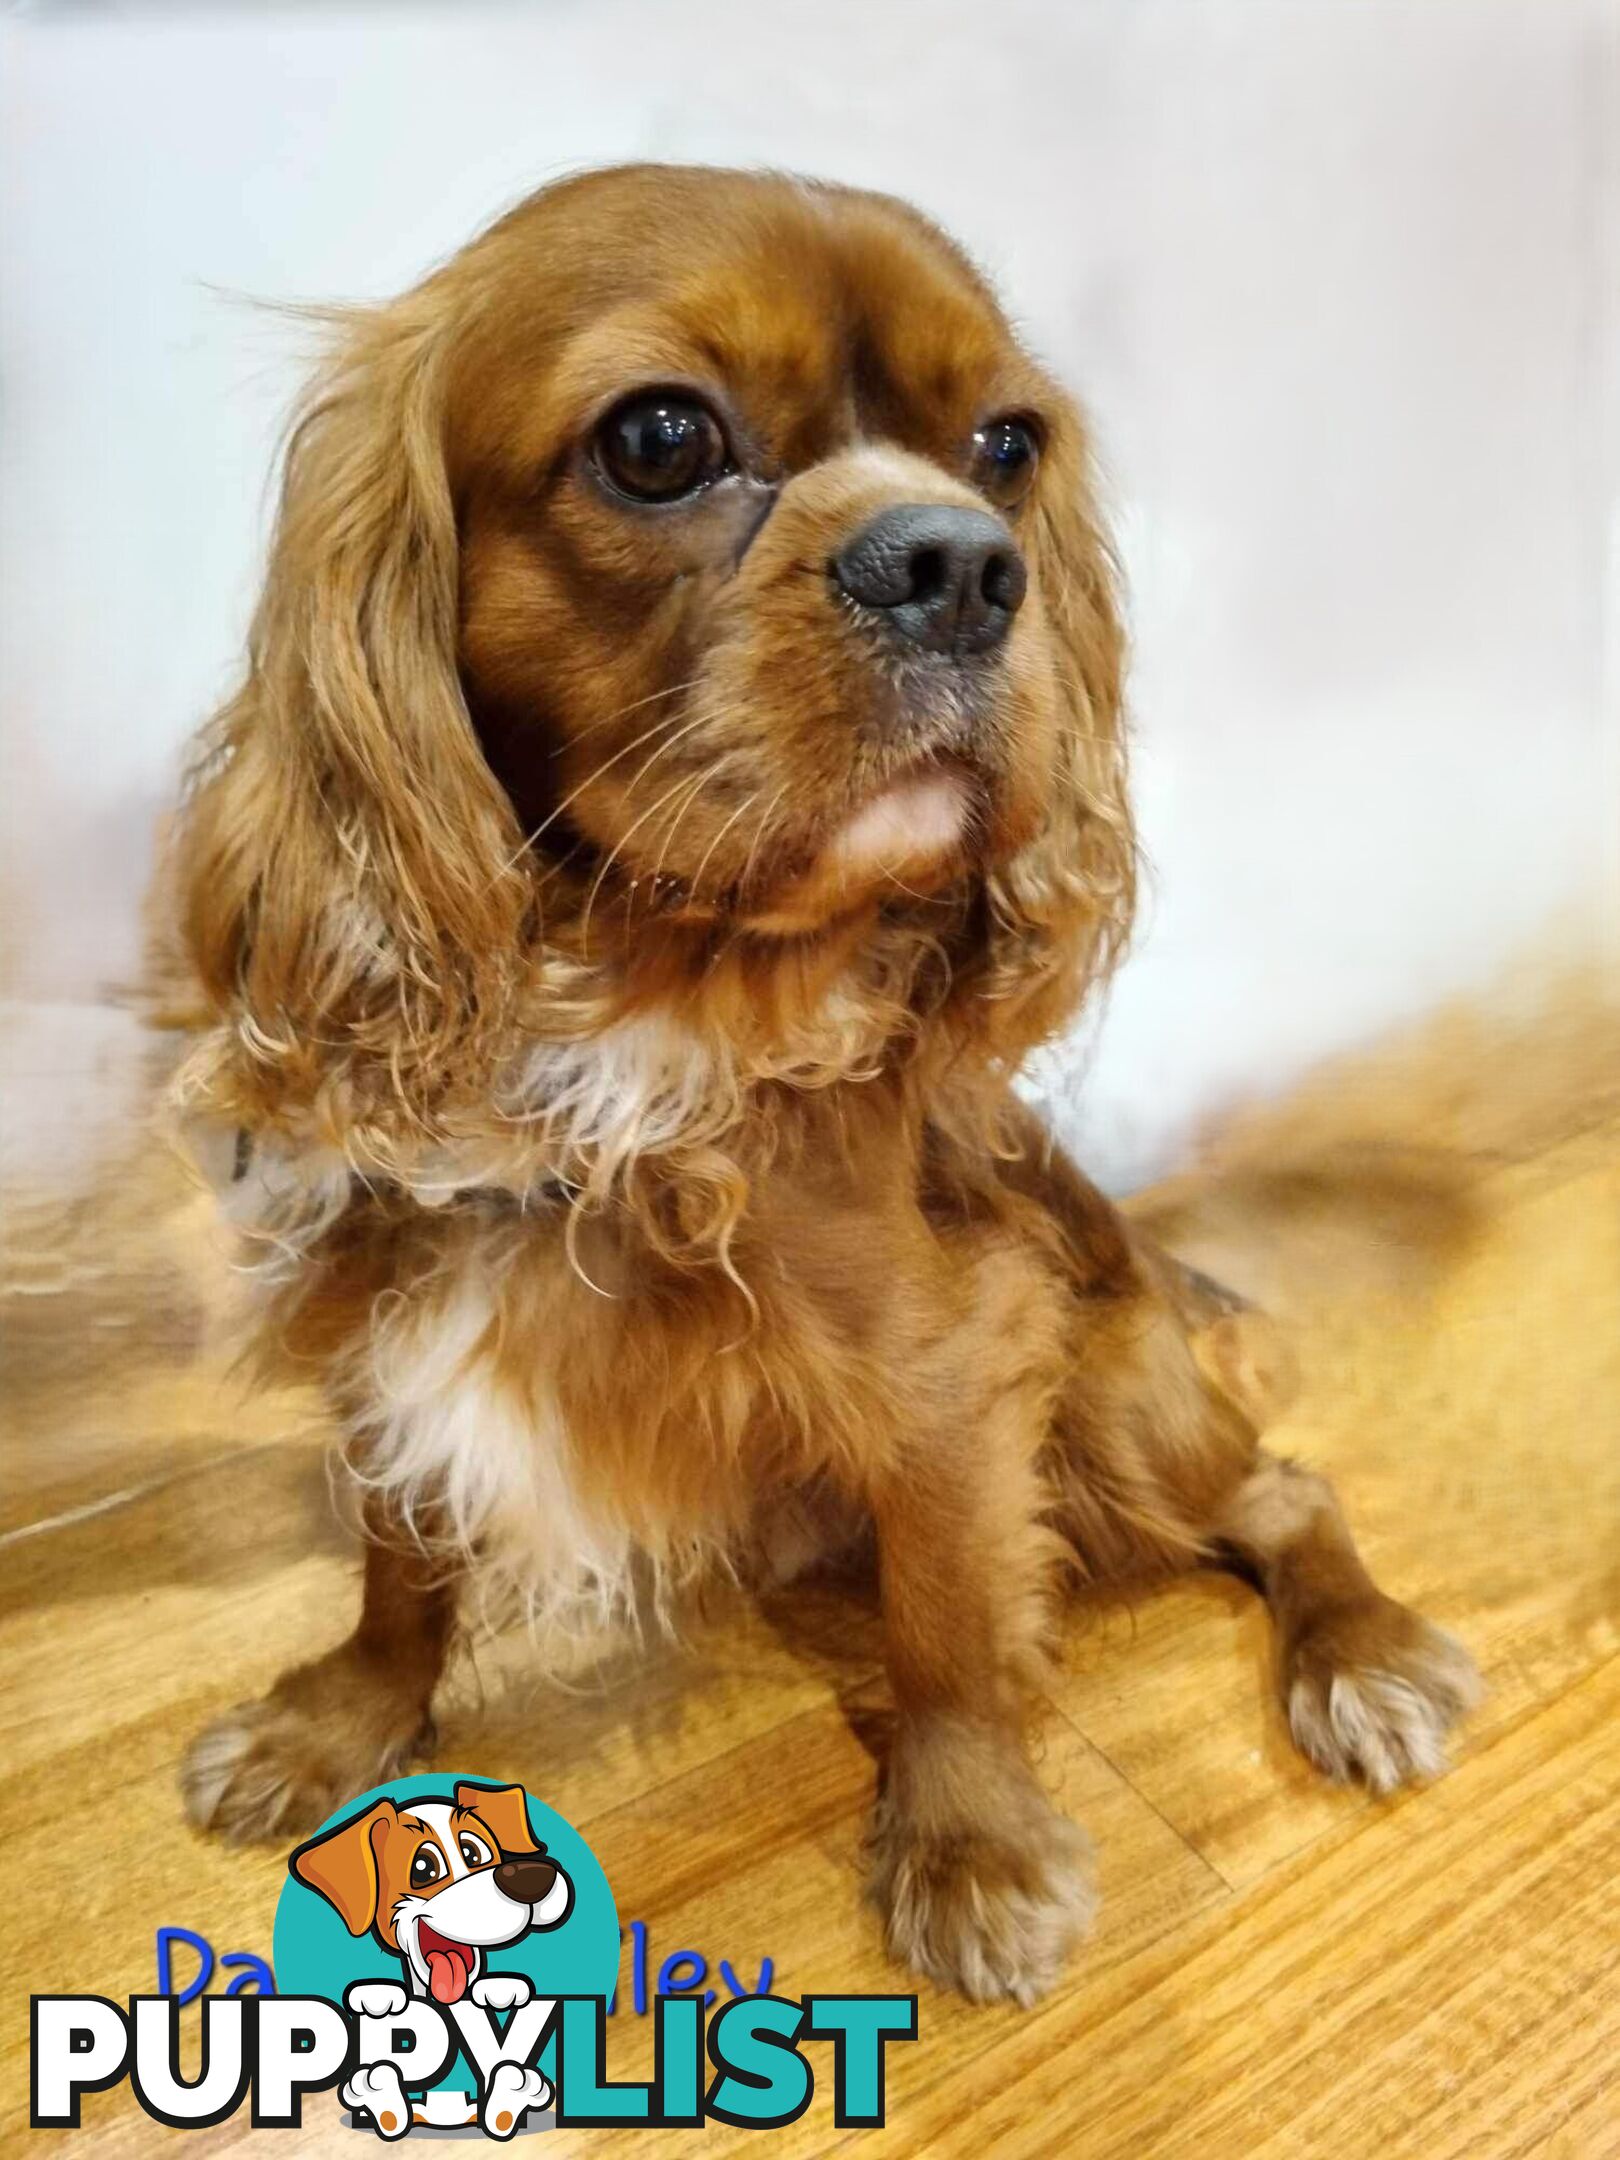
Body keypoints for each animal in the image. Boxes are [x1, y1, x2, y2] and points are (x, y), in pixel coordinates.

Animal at [171, 168, 1477, 2004]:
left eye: (1007, 444)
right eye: (659, 439)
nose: (963, 563)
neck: (642, 1010)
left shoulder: (954, 1371)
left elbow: (949, 1627)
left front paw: (971, 1846)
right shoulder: (392, 1318)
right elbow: (399, 1567)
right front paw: (339, 1726)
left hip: (1118, 1396)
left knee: (1286, 1492)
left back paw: (1362, 1655)